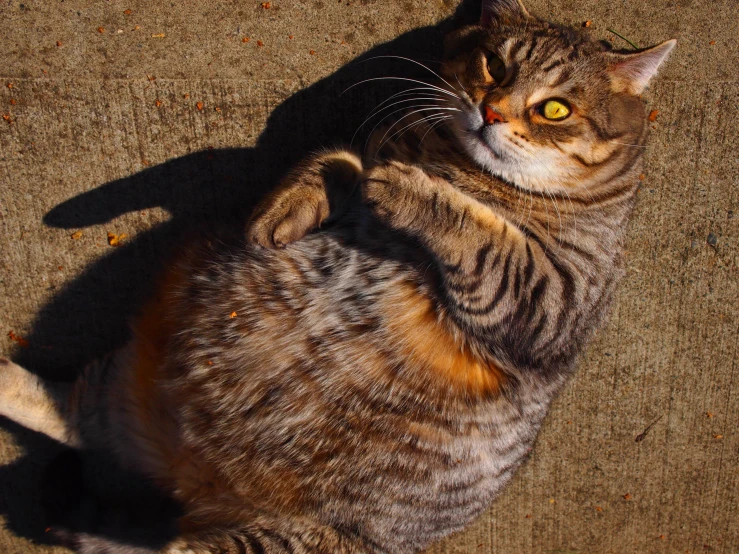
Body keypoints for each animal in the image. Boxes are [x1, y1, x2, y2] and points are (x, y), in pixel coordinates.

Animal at [0, 1, 672, 552]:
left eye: (555, 108)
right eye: (495, 66)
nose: (492, 111)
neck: (461, 167)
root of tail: (185, 471)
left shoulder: (553, 300)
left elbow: (481, 234)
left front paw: (411, 190)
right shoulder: (369, 147)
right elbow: (336, 154)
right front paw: (289, 207)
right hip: (123, 383)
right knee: (63, 410)